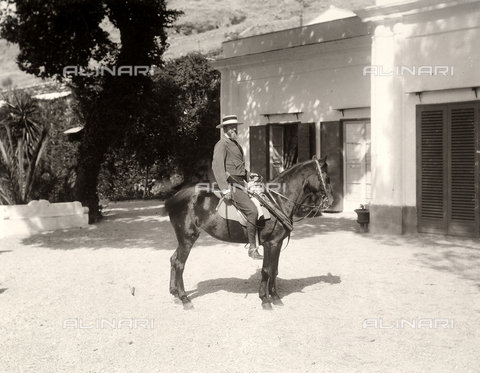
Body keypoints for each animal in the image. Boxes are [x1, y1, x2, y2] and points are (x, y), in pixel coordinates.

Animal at [163, 154, 332, 308]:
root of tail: (179, 196)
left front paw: (273, 296)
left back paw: (174, 293)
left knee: (173, 259)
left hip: (184, 239)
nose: (330, 200)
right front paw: (266, 299)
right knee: (179, 264)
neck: (278, 201)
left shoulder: (276, 244)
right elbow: (267, 270)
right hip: (187, 238)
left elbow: (274, 270)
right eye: (326, 176)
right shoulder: (272, 244)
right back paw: (185, 298)